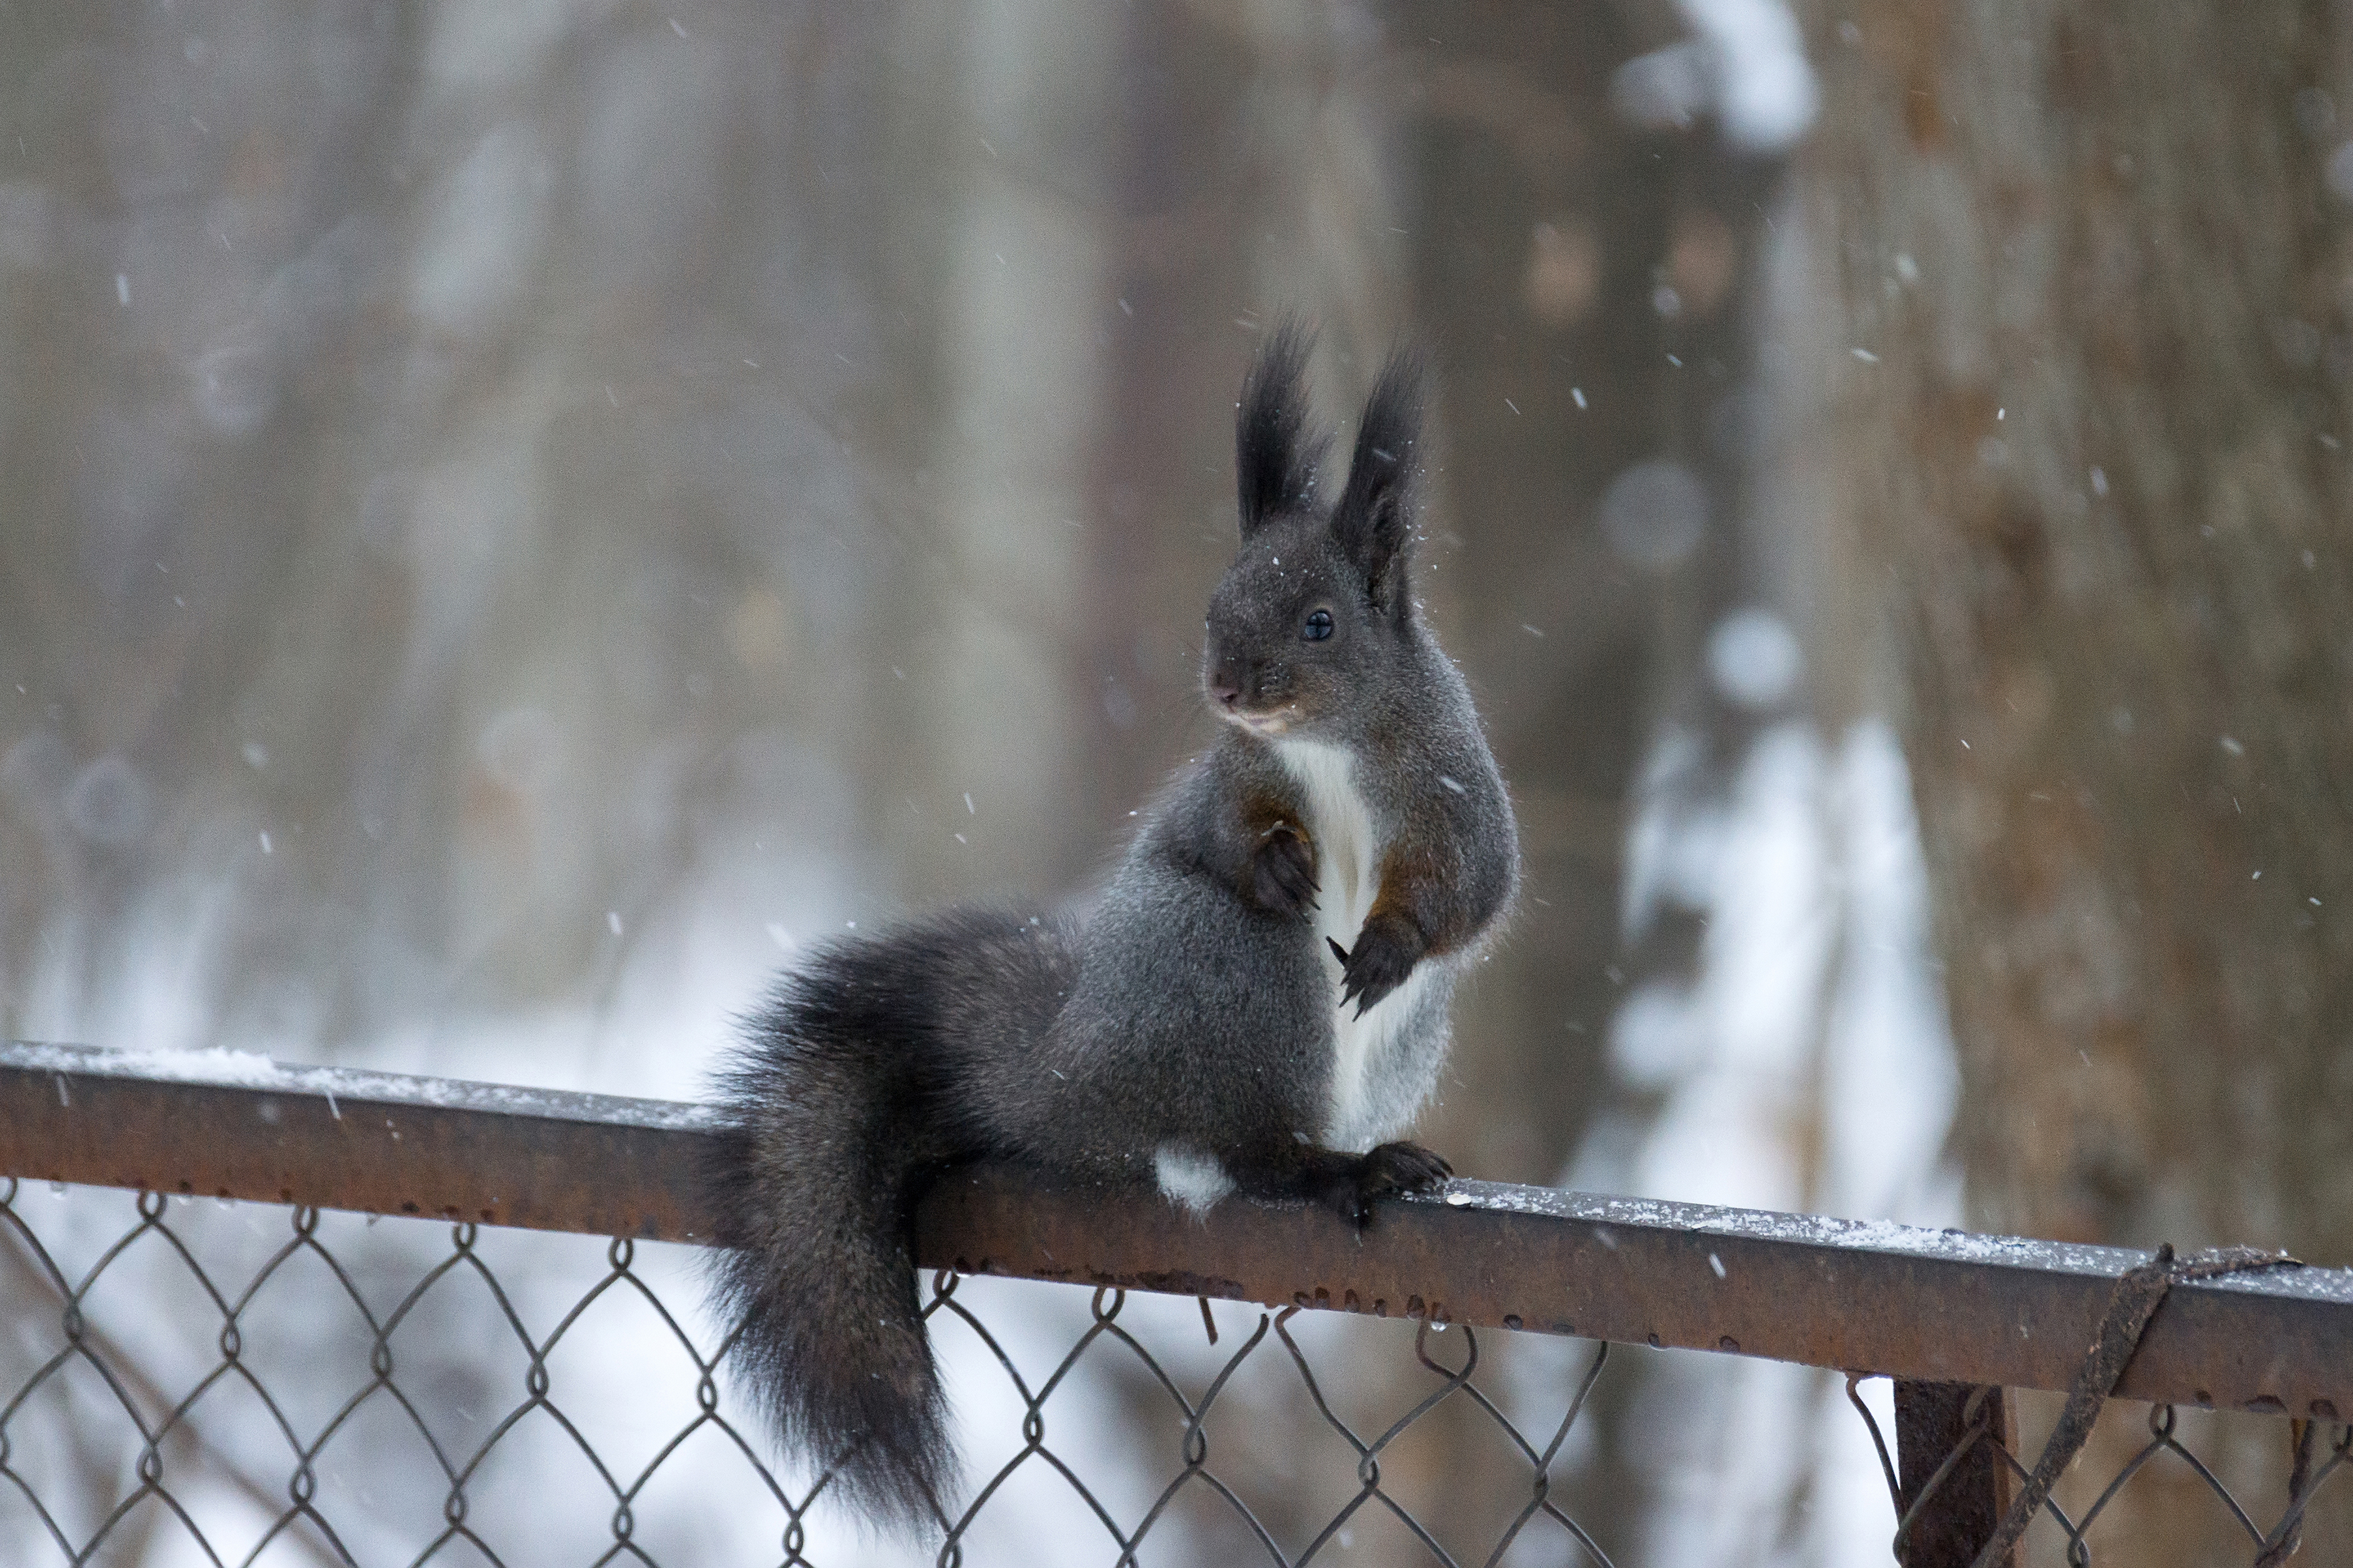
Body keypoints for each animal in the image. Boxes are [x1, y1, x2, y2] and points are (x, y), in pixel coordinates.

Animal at [696, 324, 1515, 1542]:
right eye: (1220, 599)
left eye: (1320, 622)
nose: (1227, 684)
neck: (1325, 747)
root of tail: (1067, 1073)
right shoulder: (1226, 783)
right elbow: (1219, 838)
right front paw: (1279, 865)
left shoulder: (1455, 794)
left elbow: (1473, 892)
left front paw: (1387, 942)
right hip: (1232, 970)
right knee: (1247, 1154)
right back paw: (1335, 1168)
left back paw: (1371, 1154)